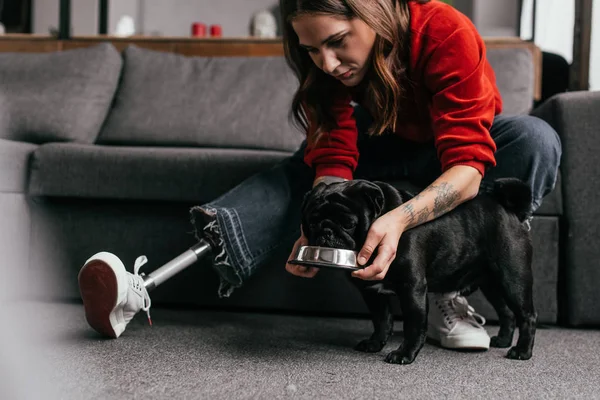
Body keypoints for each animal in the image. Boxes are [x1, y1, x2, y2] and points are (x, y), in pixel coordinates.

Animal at [302, 180, 536, 364]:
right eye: (310, 223)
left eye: (348, 223)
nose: (325, 231)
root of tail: (511, 211)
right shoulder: (371, 292)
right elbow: (382, 320)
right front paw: (375, 343)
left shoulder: (412, 288)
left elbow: (413, 324)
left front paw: (404, 354)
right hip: (492, 285)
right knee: (506, 312)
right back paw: (503, 340)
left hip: (513, 280)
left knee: (526, 316)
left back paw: (522, 351)